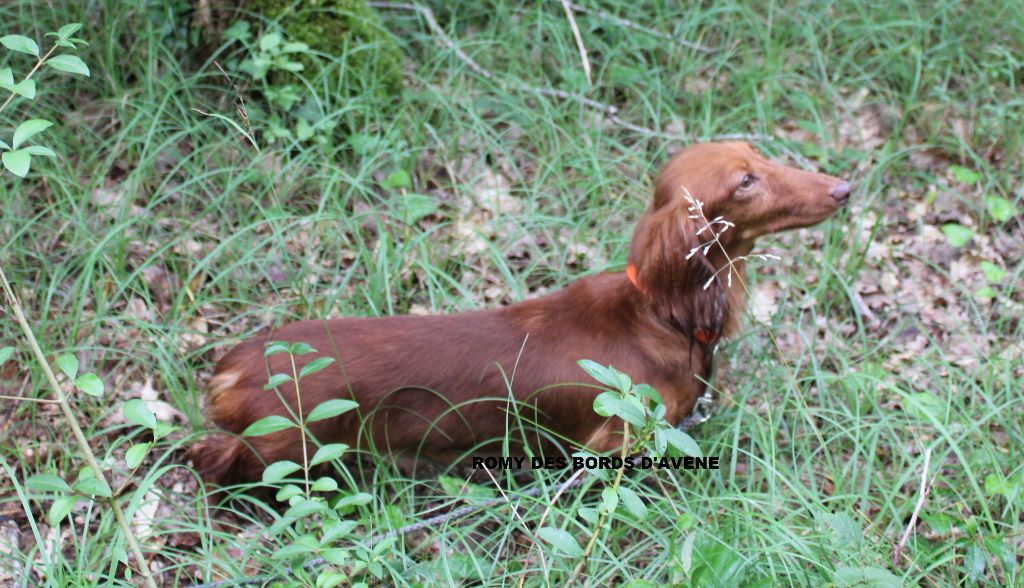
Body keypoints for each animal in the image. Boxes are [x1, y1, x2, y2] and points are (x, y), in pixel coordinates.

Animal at [190, 143, 847, 487]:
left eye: (759, 156)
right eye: (745, 182)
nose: (843, 188)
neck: (659, 315)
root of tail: (232, 368)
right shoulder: (615, 442)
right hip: (281, 452)